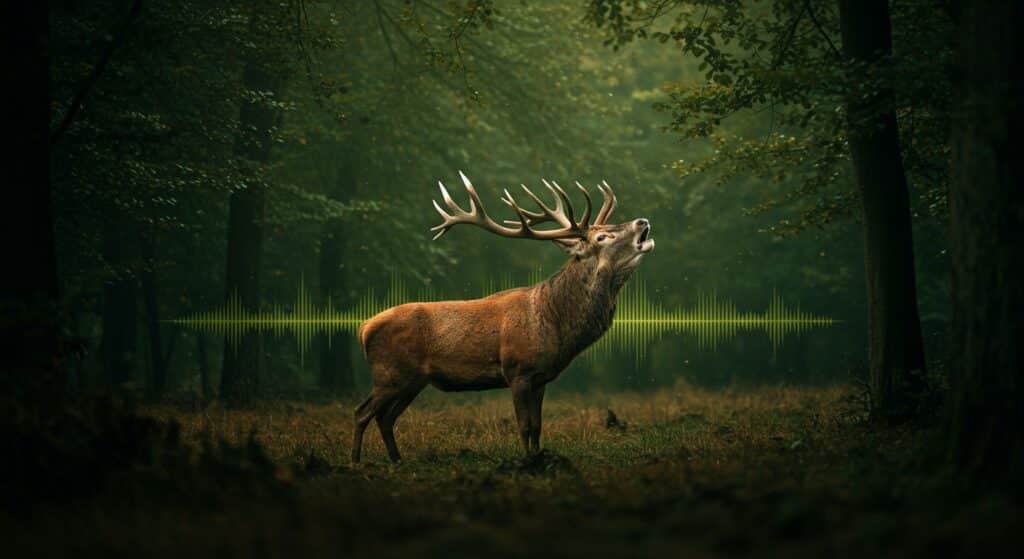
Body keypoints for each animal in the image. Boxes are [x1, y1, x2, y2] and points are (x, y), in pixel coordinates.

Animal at [351, 172, 654, 463]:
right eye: (602, 237)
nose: (642, 222)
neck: (554, 321)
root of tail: (364, 328)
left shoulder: (541, 378)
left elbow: (538, 426)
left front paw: (539, 457)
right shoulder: (517, 370)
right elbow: (525, 425)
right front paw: (528, 462)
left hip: (412, 380)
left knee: (385, 417)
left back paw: (396, 459)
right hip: (389, 373)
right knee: (362, 412)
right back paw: (356, 460)